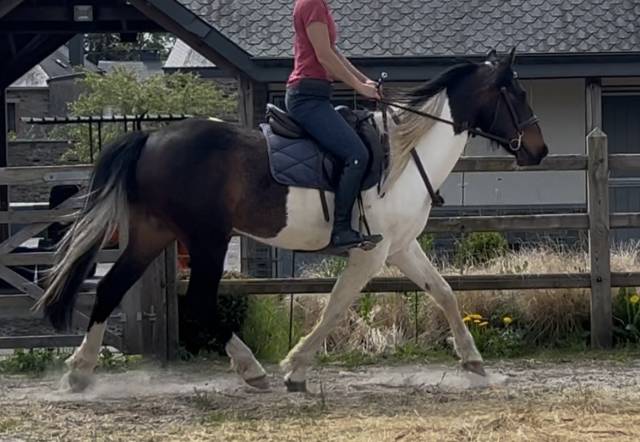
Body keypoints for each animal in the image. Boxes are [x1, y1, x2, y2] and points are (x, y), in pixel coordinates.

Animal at [36, 48, 548, 393]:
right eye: (517, 93)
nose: (539, 150)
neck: (404, 155)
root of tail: (152, 137)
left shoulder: (401, 247)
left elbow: (443, 292)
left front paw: (473, 363)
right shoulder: (372, 251)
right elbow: (336, 305)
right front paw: (295, 367)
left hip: (153, 233)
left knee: (110, 287)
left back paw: (80, 372)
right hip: (207, 239)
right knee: (198, 301)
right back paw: (252, 369)